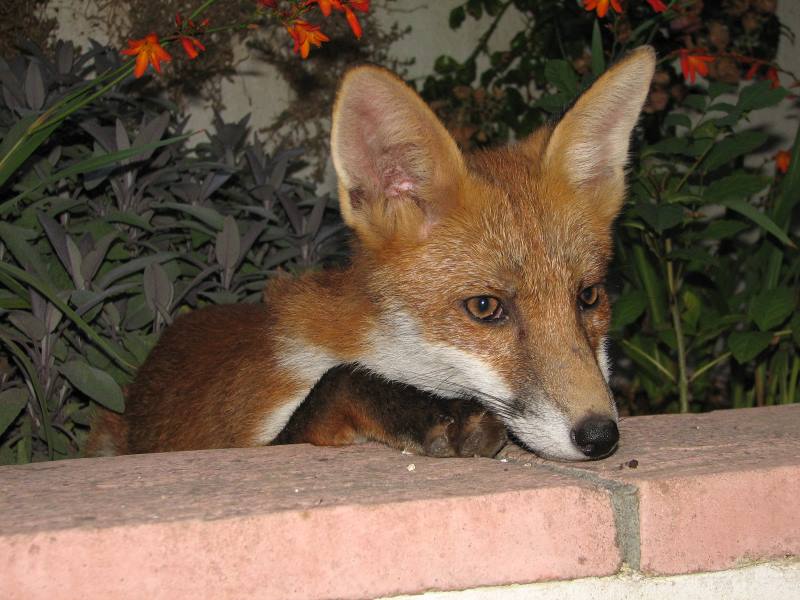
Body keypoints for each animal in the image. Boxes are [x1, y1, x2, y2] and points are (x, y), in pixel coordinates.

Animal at [86, 47, 656, 462]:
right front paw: (434, 416)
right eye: (485, 307)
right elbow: (341, 380)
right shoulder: (253, 441)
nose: (600, 436)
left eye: (589, 297)